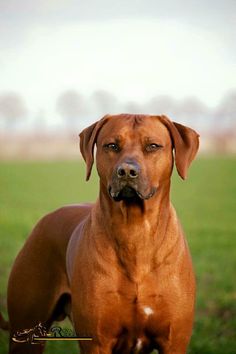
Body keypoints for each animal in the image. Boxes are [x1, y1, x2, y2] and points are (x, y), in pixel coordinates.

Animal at [5, 115, 199, 352]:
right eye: (112, 145)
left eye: (153, 146)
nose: (127, 171)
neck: (135, 230)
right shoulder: (97, 341)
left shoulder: (175, 341)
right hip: (26, 328)